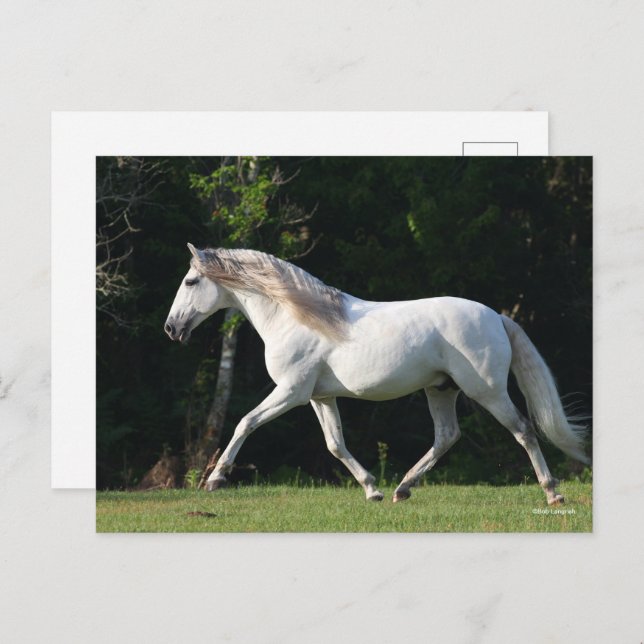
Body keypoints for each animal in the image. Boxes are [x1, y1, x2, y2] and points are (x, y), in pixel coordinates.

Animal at [164, 243, 590, 504]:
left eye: (190, 281)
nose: (171, 329)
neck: (294, 316)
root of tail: (498, 317)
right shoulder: (320, 397)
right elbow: (335, 445)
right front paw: (372, 490)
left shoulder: (291, 392)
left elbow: (245, 422)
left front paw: (216, 480)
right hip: (441, 390)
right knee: (447, 436)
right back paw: (401, 489)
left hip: (487, 392)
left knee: (524, 430)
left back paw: (553, 493)